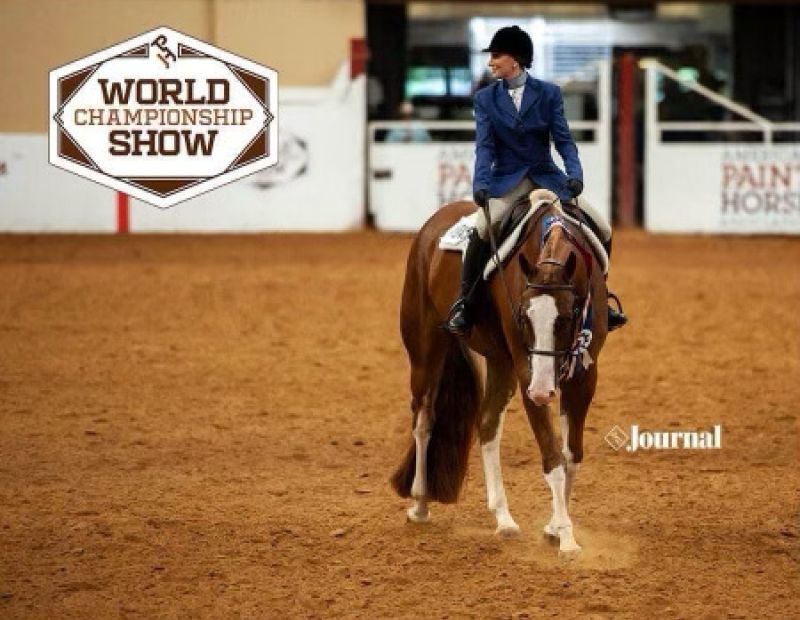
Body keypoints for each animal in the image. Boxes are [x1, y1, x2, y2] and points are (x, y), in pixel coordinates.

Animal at [390, 188, 608, 553]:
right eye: (523, 317)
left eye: (566, 318)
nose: (542, 391)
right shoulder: (526, 370)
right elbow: (552, 458)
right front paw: (565, 537)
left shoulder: (583, 376)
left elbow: (570, 455)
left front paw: (554, 527)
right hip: (425, 349)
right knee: (423, 420)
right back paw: (420, 503)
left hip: (498, 360)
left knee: (487, 424)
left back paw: (503, 519)